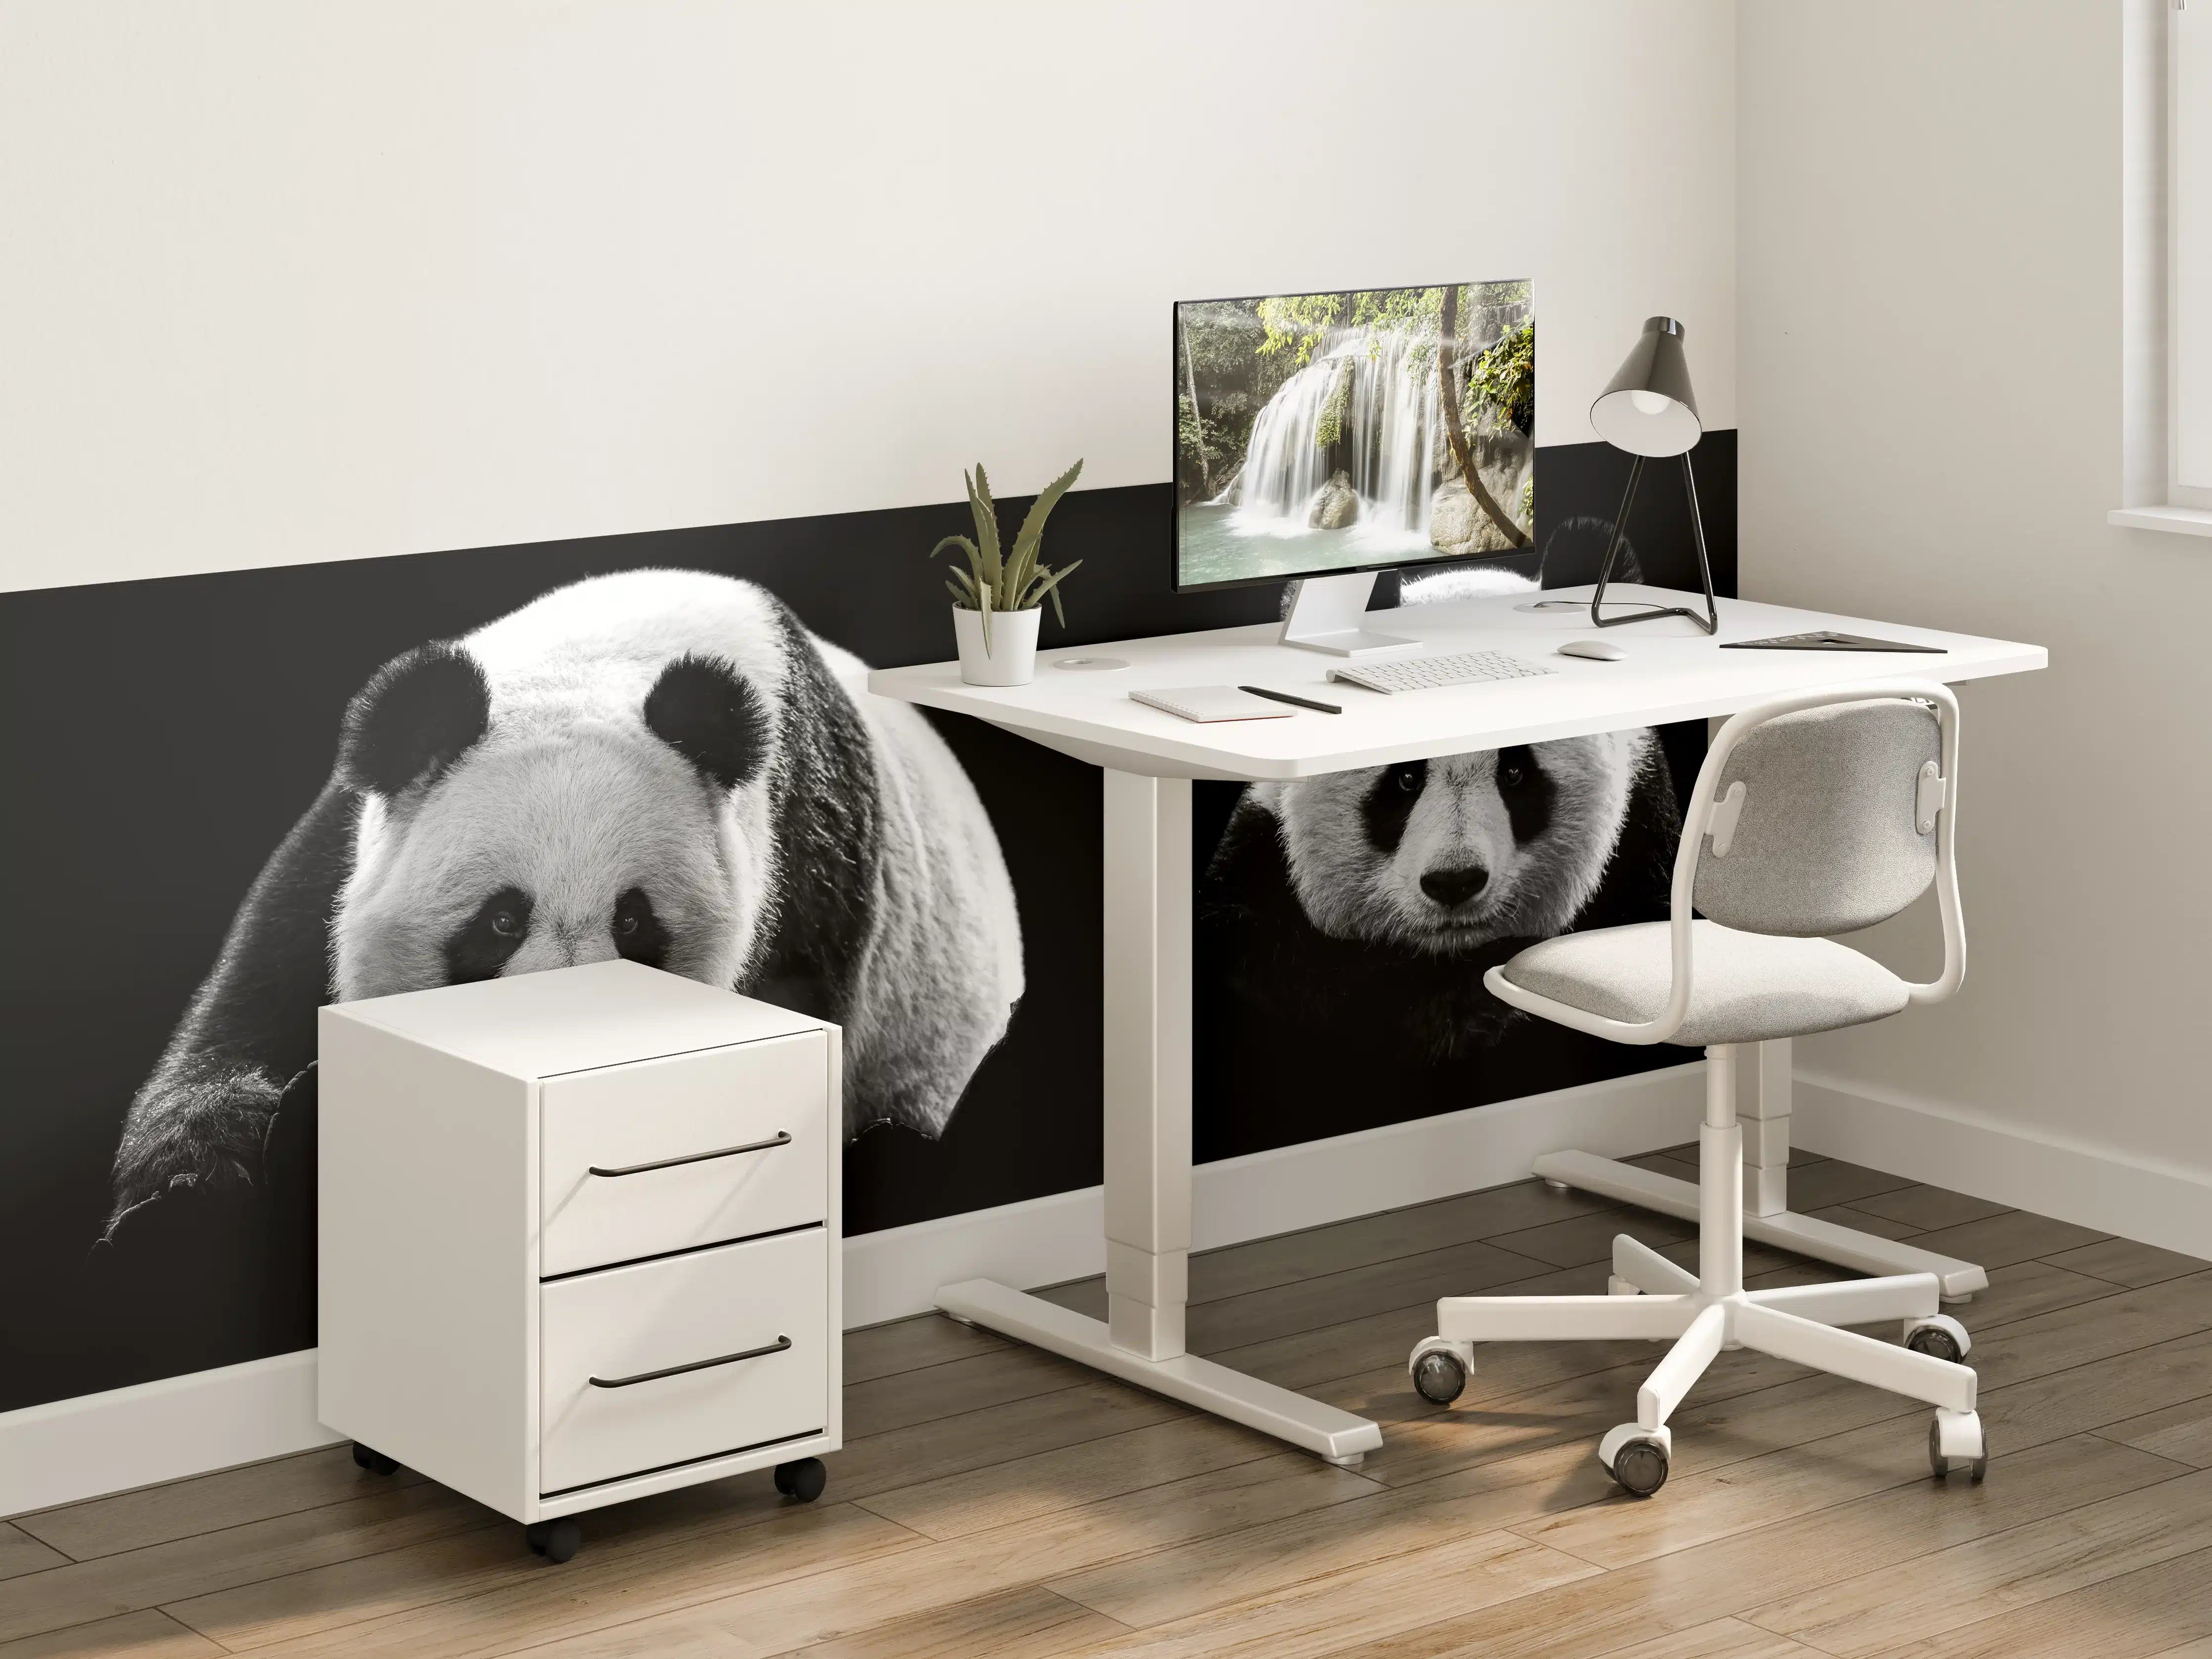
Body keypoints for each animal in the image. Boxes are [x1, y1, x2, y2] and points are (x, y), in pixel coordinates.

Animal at [109, 569, 1023, 1224]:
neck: (606, 659)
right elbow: (249, 1017)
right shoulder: (337, 849)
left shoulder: (808, 870)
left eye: (636, 920)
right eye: (499, 920)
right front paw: (195, 1188)